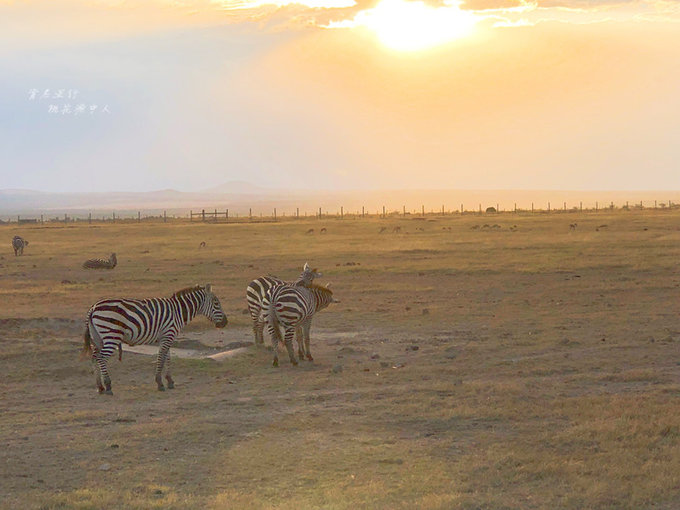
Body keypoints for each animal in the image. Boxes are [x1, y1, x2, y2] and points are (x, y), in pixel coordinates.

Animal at [80, 282, 227, 394]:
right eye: (216, 303)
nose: (225, 323)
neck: (178, 311)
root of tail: (93, 308)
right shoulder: (168, 335)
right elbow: (161, 358)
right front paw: (160, 383)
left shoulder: (167, 336)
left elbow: (168, 358)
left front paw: (170, 381)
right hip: (111, 335)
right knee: (102, 358)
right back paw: (108, 386)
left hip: (98, 338)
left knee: (94, 357)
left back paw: (100, 387)